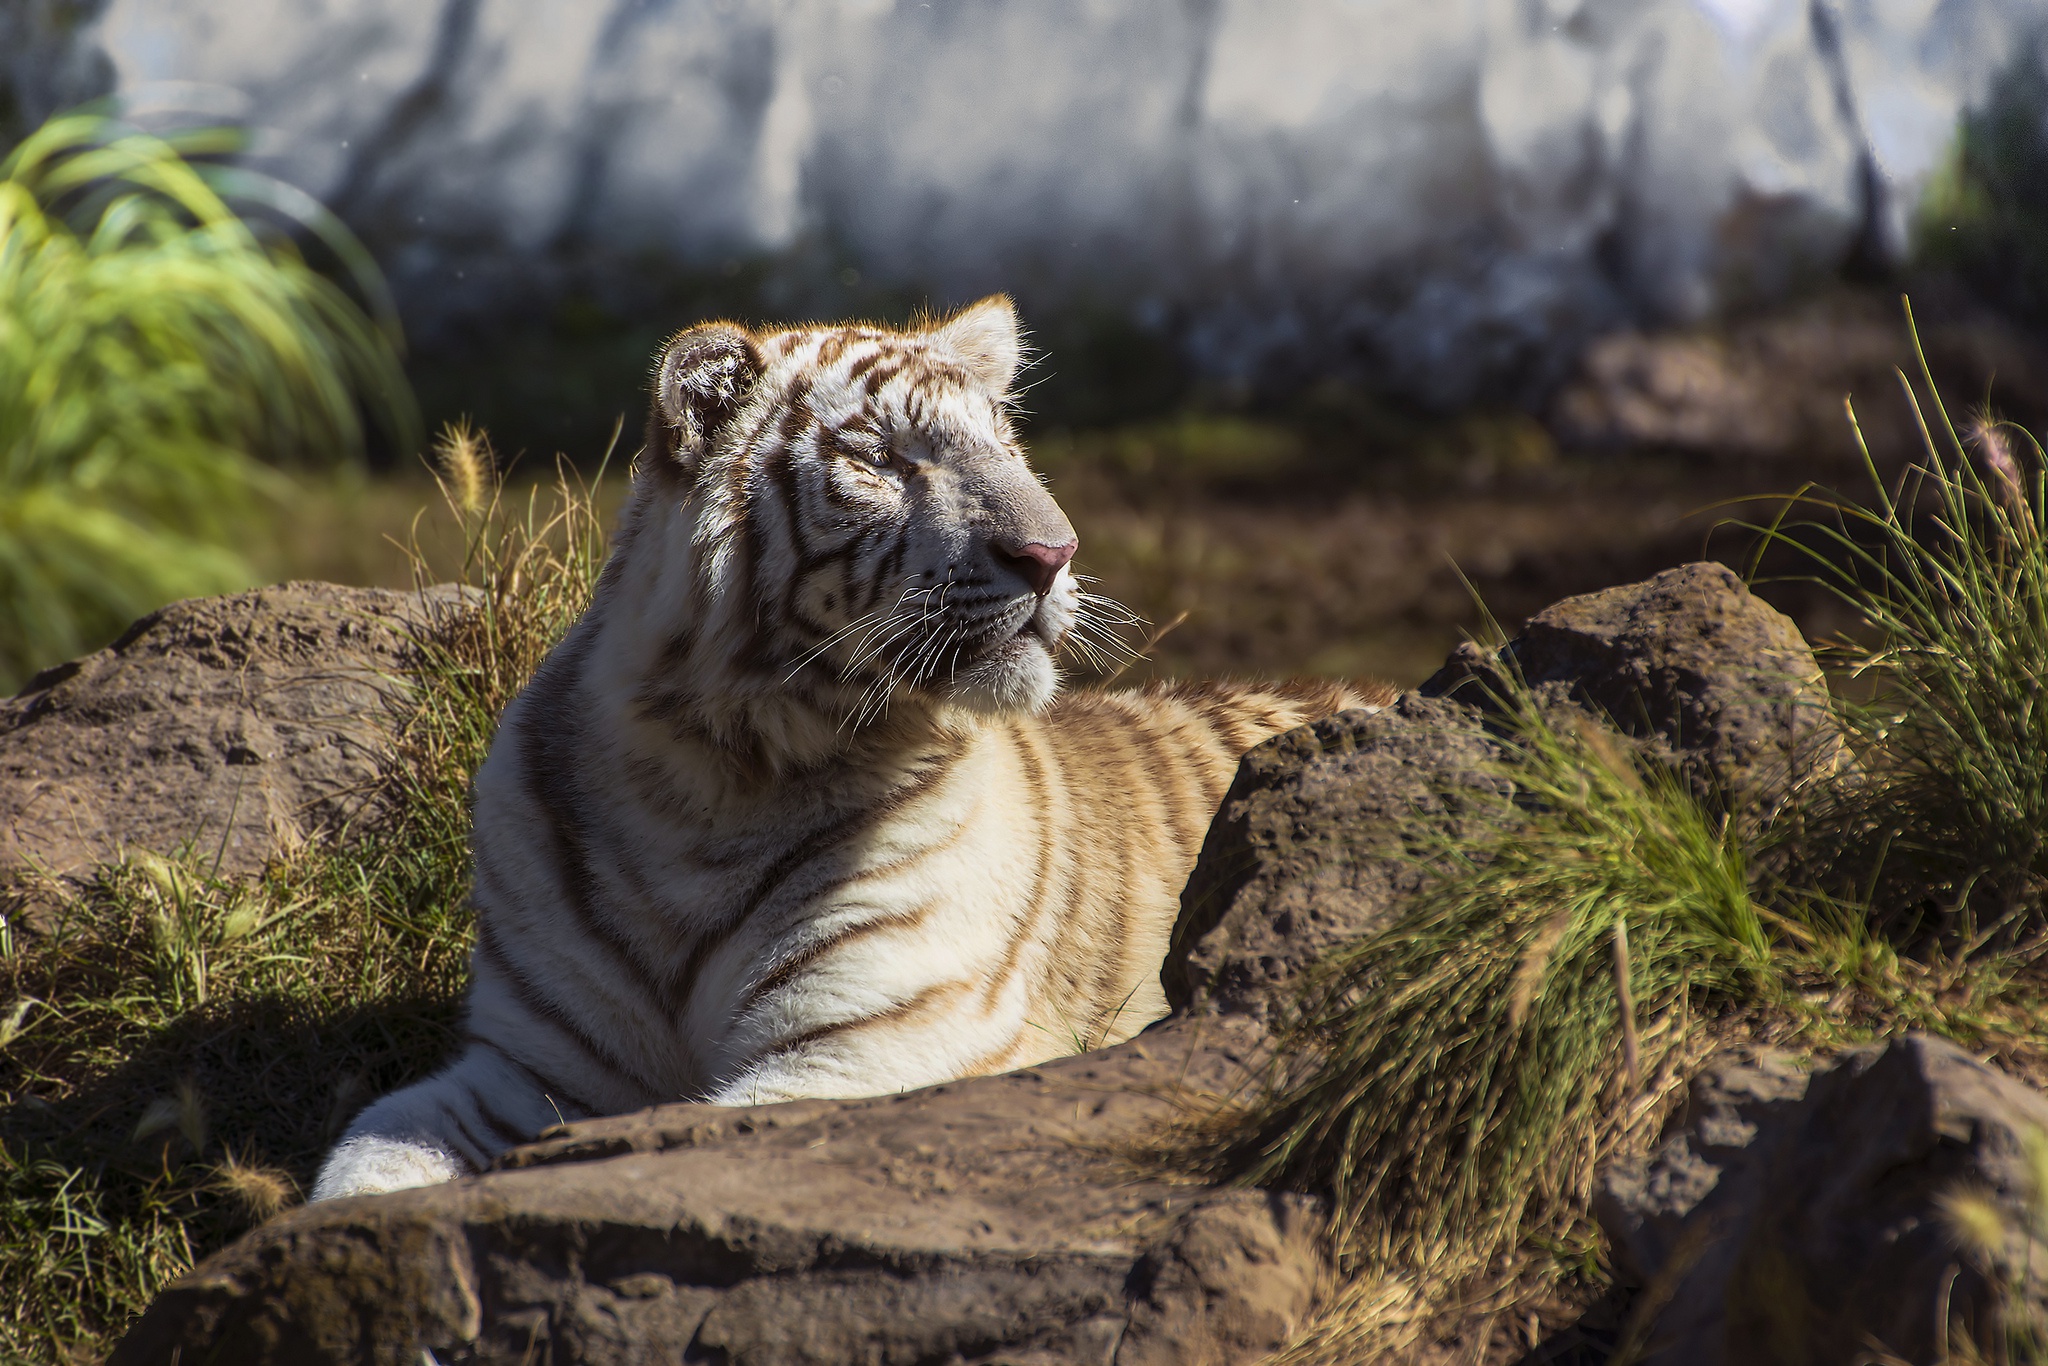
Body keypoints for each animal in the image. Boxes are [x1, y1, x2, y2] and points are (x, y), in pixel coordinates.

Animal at [311, 296, 1384, 1196]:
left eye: (1009, 448)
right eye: (880, 459)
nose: (1054, 554)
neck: (702, 783)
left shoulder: (868, 1046)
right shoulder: (527, 1071)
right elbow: (365, 1161)